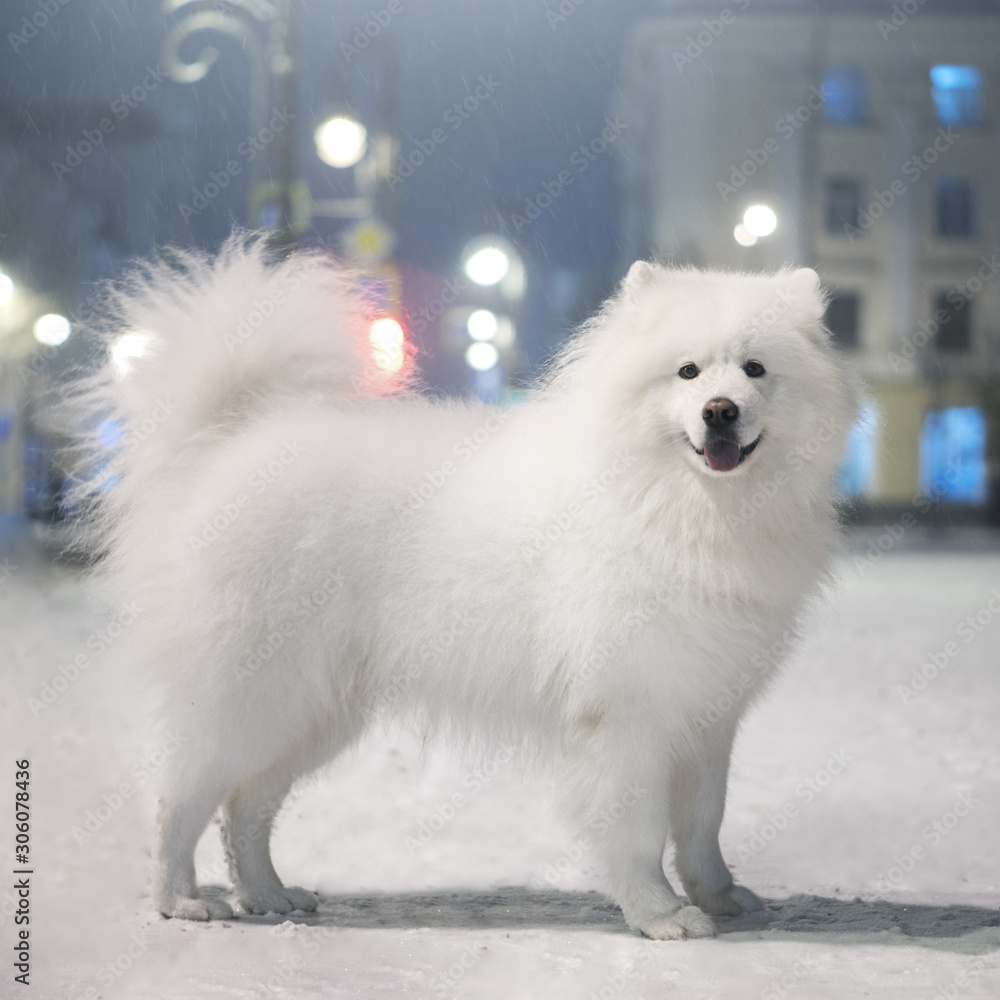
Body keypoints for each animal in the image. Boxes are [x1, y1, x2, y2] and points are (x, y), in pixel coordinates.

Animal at [78, 238, 860, 940]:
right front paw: (660, 915)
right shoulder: (626, 716)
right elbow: (638, 830)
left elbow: (702, 825)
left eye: (755, 370)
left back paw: (270, 897)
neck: (682, 506)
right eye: (688, 372)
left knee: (244, 808)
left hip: (312, 713)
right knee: (181, 800)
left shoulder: (706, 713)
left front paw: (721, 899)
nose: (721, 409)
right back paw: (182, 901)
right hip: (254, 698)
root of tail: (224, 446)